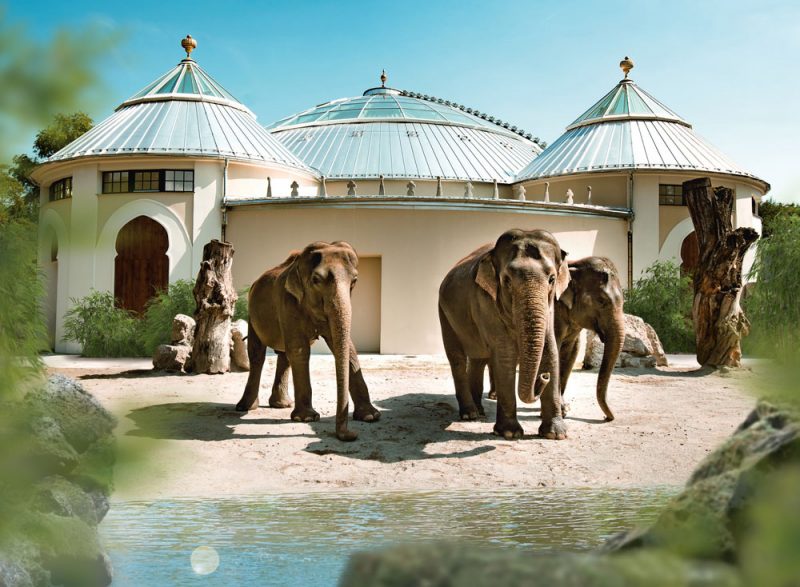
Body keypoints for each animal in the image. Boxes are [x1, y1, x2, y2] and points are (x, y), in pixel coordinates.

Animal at [234, 242, 382, 440]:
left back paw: (281, 405)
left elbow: (346, 348)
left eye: (355, 281)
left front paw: (370, 416)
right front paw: (307, 418)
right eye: (316, 280)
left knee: (284, 355)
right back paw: (246, 407)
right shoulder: (287, 301)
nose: (351, 434)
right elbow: (300, 350)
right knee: (258, 355)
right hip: (252, 313)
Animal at [438, 227, 576, 438]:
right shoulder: (485, 301)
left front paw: (556, 434)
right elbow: (505, 354)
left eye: (552, 279)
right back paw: (470, 414)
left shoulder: (551, 306)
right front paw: (510, 433)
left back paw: (479, 412)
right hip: (444, 315)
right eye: (507, 280)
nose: (543, 377)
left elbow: (550, 350)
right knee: (458, 359)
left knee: (478, 359)